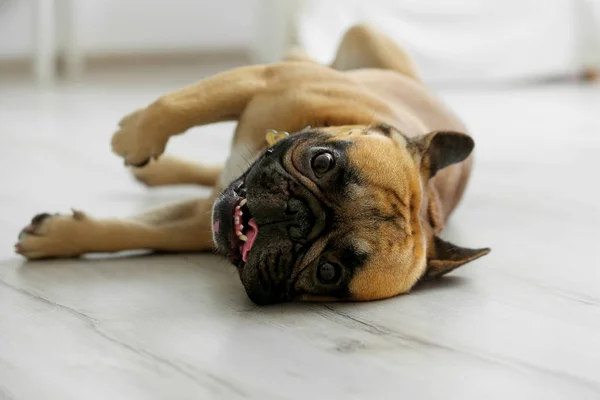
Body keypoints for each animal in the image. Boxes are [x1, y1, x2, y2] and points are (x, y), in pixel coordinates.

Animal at [14, 25, 490, 304]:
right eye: (322, 162)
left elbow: (138, 231)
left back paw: (155, 171)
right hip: (362, 37)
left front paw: (58, 237)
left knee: (207, 178)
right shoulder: (263, 80)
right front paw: (137, 136)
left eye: (328, 271)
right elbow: (184, 103)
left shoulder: (199, 224)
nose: (297, 217)